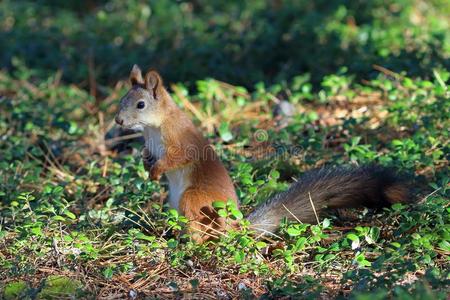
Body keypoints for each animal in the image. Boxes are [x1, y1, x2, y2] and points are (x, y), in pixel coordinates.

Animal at [114, 64, 410, 243]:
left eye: (140, 105)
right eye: (122, 100)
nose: (118, 121)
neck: (153, 127)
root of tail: (236, 227)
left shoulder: (180, 139)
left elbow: (179, 157)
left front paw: (157, 170)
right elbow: (149, 154)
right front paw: (147, 164)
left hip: (195, 200)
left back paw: (191, 246)